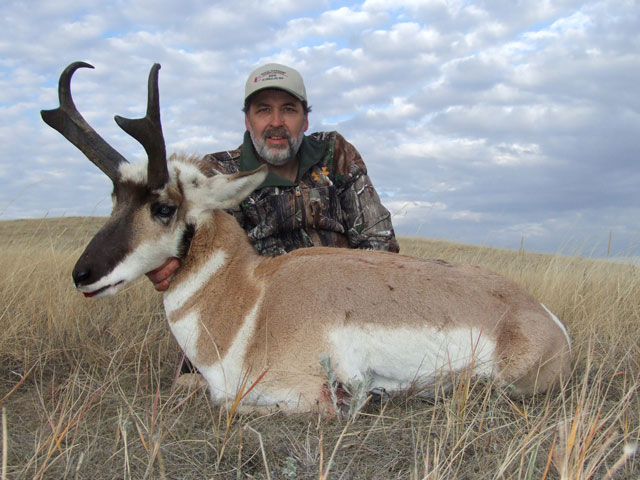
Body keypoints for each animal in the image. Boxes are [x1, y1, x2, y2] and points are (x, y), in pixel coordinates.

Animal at [42, 63, 572, 414]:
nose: (82, 274)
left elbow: (232, 403)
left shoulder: (292, 394)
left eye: (164, 207)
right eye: (115, 197)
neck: (249, 300)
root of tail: (542, 316)